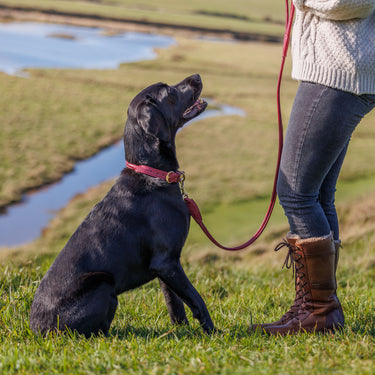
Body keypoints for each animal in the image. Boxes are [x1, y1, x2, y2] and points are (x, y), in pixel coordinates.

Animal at [29, 73, 214, 338]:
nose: (197, 76)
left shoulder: (164, 267)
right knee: (98, 332)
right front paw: (215, 332)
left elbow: (175, 303)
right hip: (103, 284)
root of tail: (37, 331)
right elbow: (196, 299)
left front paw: (181, 332)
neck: (153, 174)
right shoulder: (167, 262)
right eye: (169, 91)